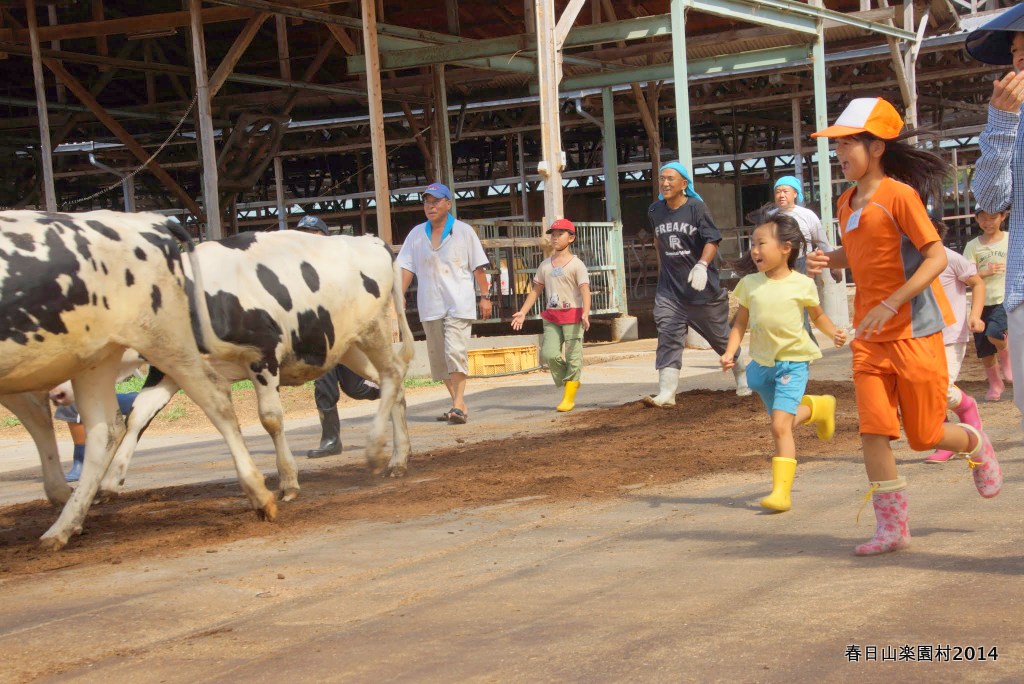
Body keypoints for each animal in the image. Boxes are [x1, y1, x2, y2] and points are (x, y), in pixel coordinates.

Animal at [0, 209, 280, 548]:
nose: (57, 394)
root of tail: (149, 218)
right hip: (94, 357)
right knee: (98, 428)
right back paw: (66, 520)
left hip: (160, 337)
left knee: (214, 396)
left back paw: (260, 493)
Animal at [96, 227, 415, 499]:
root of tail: (369, 240)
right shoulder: (168, 370)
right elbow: (138, 415)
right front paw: (110, 481)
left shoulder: (264, 355)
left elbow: (271, 419)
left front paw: (288, 481)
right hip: (347, 347)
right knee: (392, 384)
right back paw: (400, 457)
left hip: (373, 330)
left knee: (392, 373)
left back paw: (379, 450)